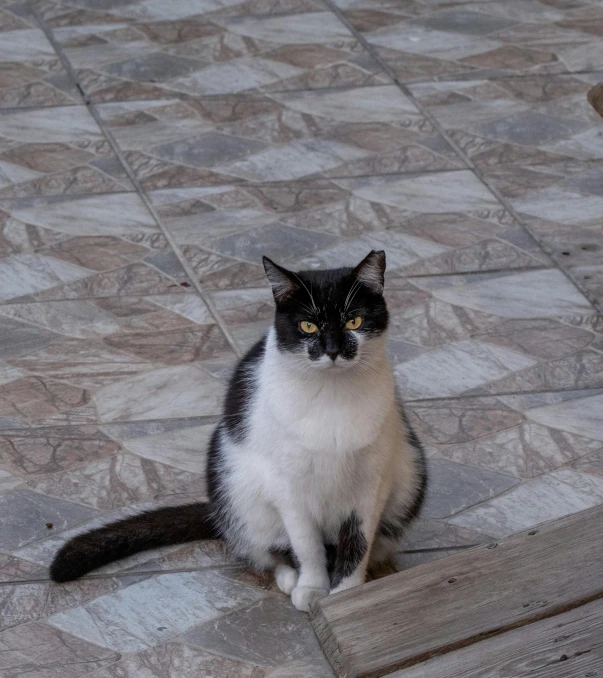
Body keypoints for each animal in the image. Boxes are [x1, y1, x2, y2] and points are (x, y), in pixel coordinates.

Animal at [53, 252, 430, 612]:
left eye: (354, 321)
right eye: (308, 325)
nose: (333, 350)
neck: (333, 396)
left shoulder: (371, 481)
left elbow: (358, 544)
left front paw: (346, 595)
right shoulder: (287, 484)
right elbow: (306, 544)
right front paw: (313, 587)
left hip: (409, 474)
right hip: (236, 485)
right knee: (269, 547)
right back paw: (290, 577)